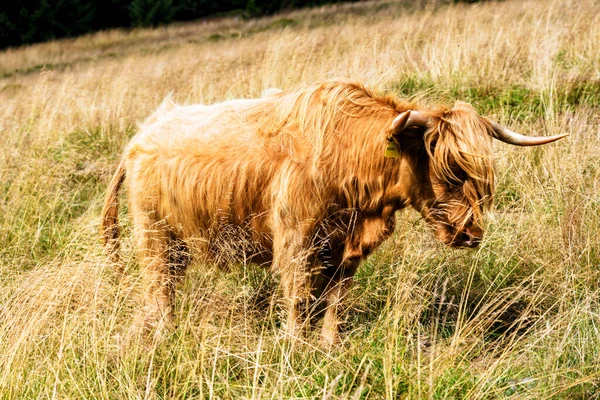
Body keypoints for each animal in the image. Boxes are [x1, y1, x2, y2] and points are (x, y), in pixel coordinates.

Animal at [102, 79, 568, 344]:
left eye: (479, 177)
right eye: (449, 171)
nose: (471, 234)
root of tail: (141, 135)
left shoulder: (345, 246)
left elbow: (336, 298)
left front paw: (329, 344)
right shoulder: (297, 238)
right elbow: (298, 295)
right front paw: (294, 345)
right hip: (156, 235)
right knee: (161, 288)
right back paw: (165, 335)